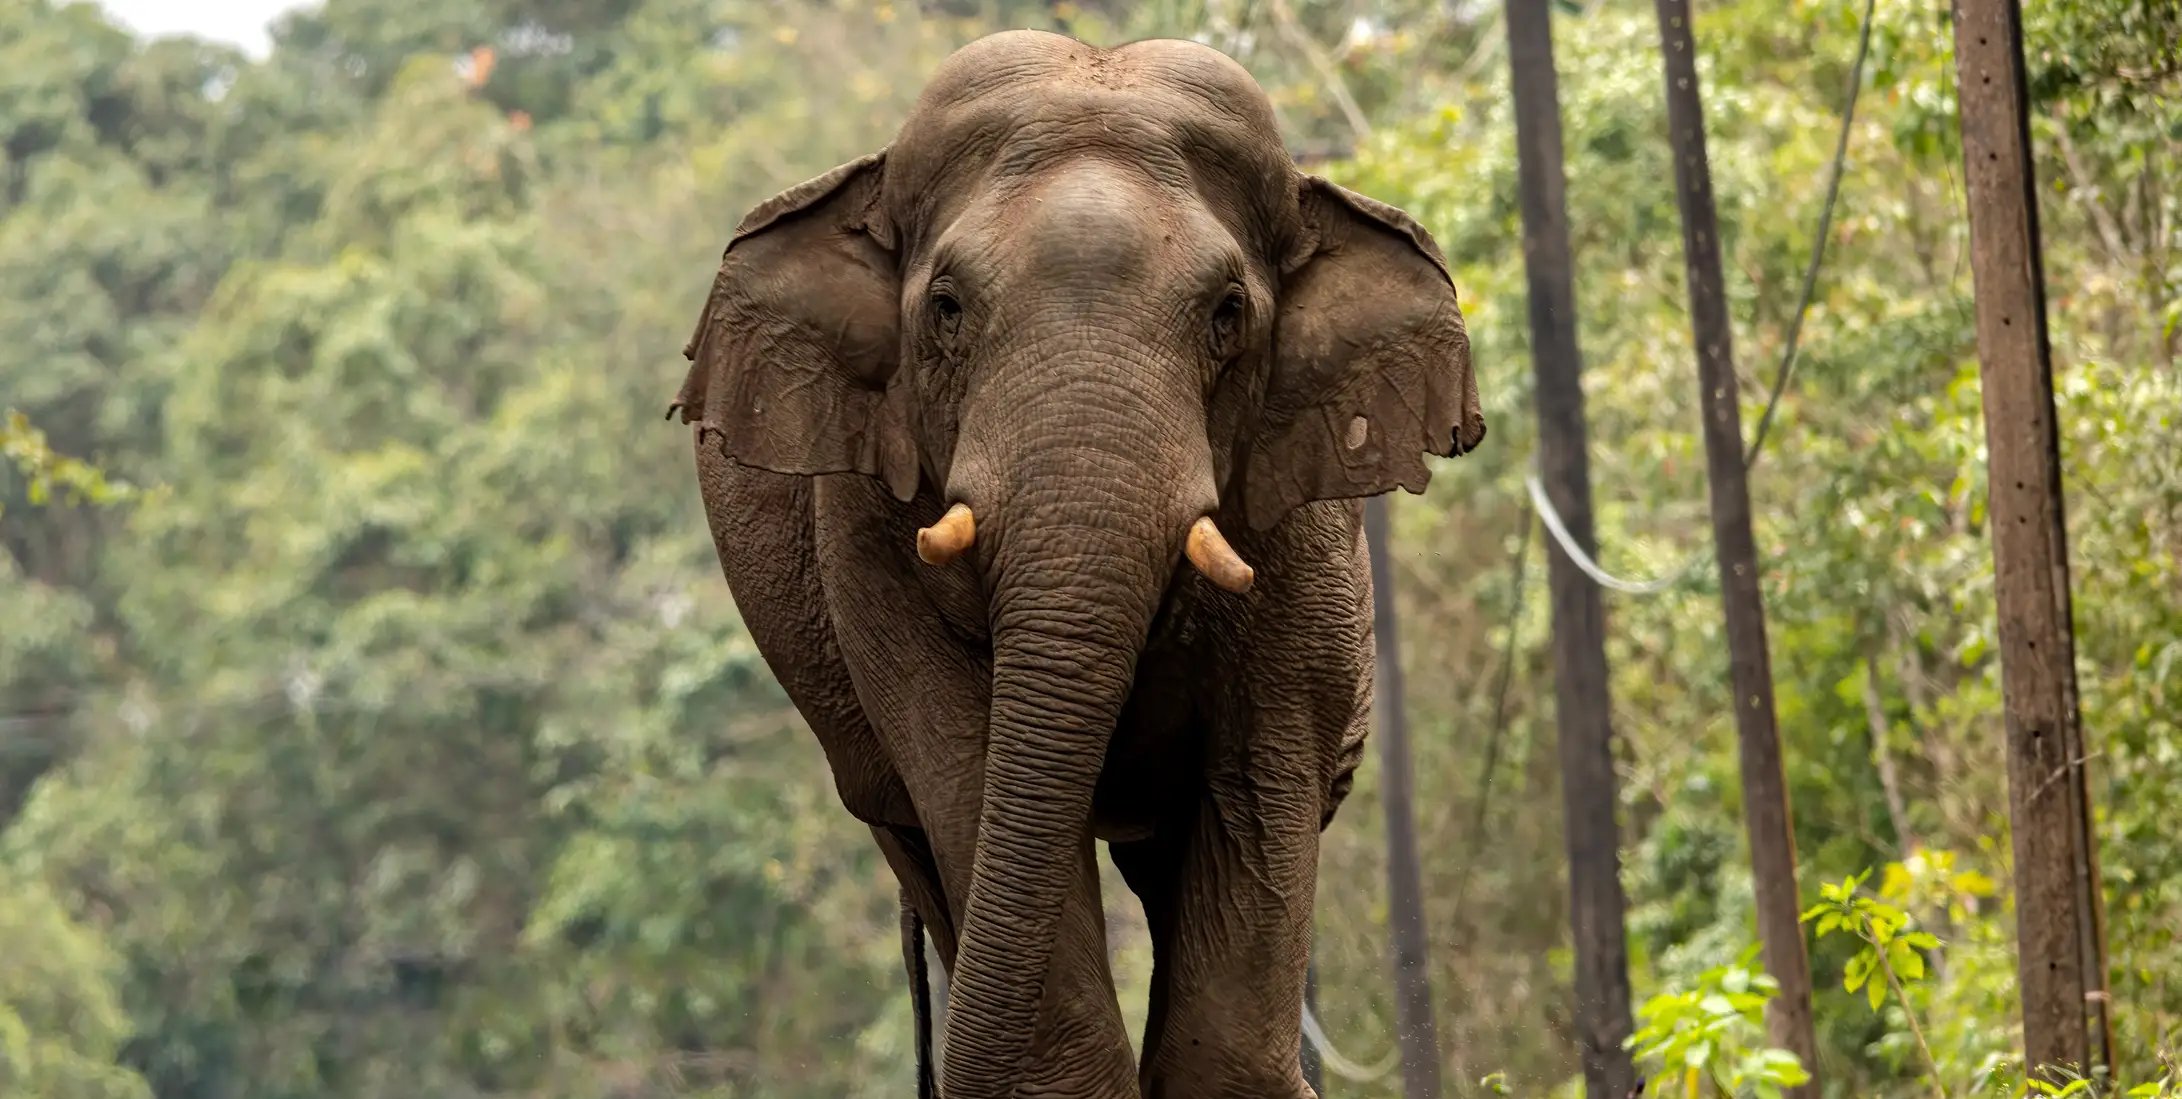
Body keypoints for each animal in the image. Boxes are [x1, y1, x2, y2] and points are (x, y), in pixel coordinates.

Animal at [669, 28, 1484, 1099]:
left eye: (1228, 313)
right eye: (946, 307)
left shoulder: (1298, 534)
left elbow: (1254, 787)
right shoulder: (868, 527)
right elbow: (967, 772)